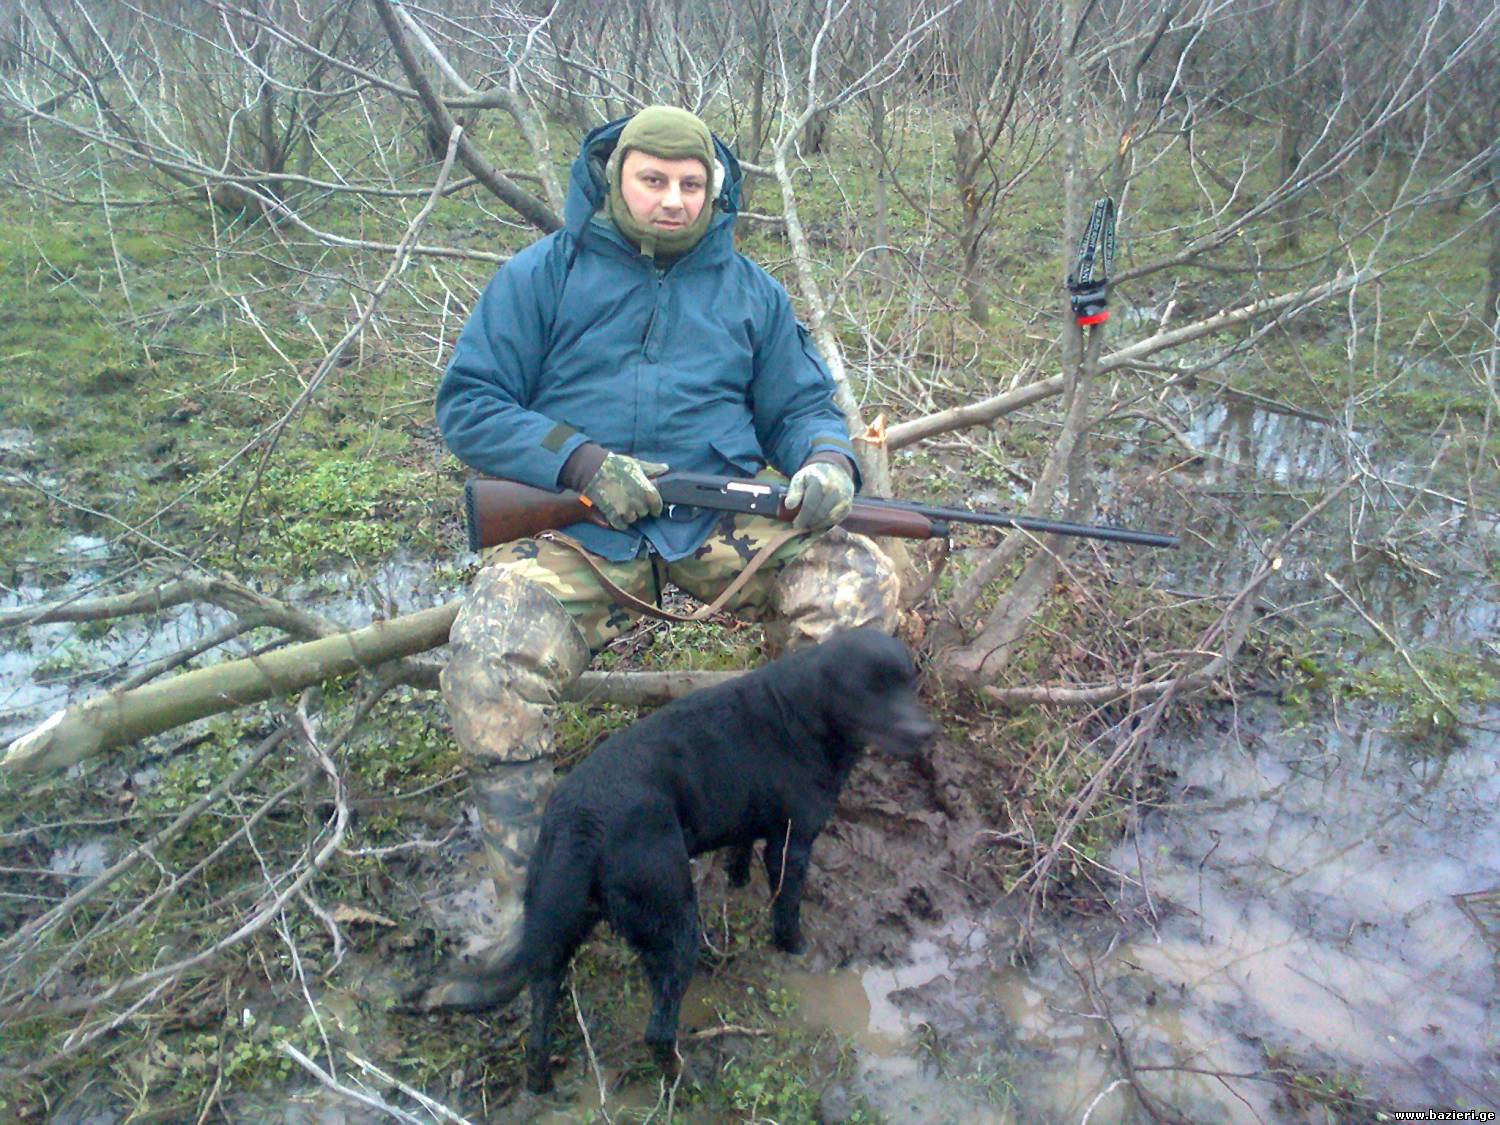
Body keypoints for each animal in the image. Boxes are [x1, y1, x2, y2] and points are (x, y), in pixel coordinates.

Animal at [461, 627, 936, 1094]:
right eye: (865, 692)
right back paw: (687, 1082)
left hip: (558, 927)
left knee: (541, 1008)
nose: (924, 732)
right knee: (658, 1031)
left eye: (908, 683)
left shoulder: (748, 824)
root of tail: (583, 821)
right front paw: (795, 947)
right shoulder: (792, 844)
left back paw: (541, 1080)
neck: (807, 712)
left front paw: (737, 879)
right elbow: (787, 908)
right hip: (673, 920)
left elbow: (739, 852)